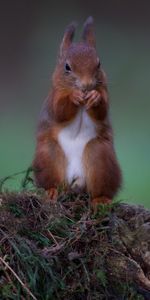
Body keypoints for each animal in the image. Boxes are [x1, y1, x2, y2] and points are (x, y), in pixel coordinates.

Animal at [32, 16, 122, 207]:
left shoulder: (106, 94)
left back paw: (101, 199)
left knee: (100, 188)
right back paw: (51, 191)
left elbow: (102, 111)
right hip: (48, 157)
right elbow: (60, 111)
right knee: (53, 181)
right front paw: (74, 96)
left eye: (99, 63)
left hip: (100, 158)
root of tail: (76, 182)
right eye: (67, 67)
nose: (87, 85)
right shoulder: (54, 99)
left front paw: (95, 97)